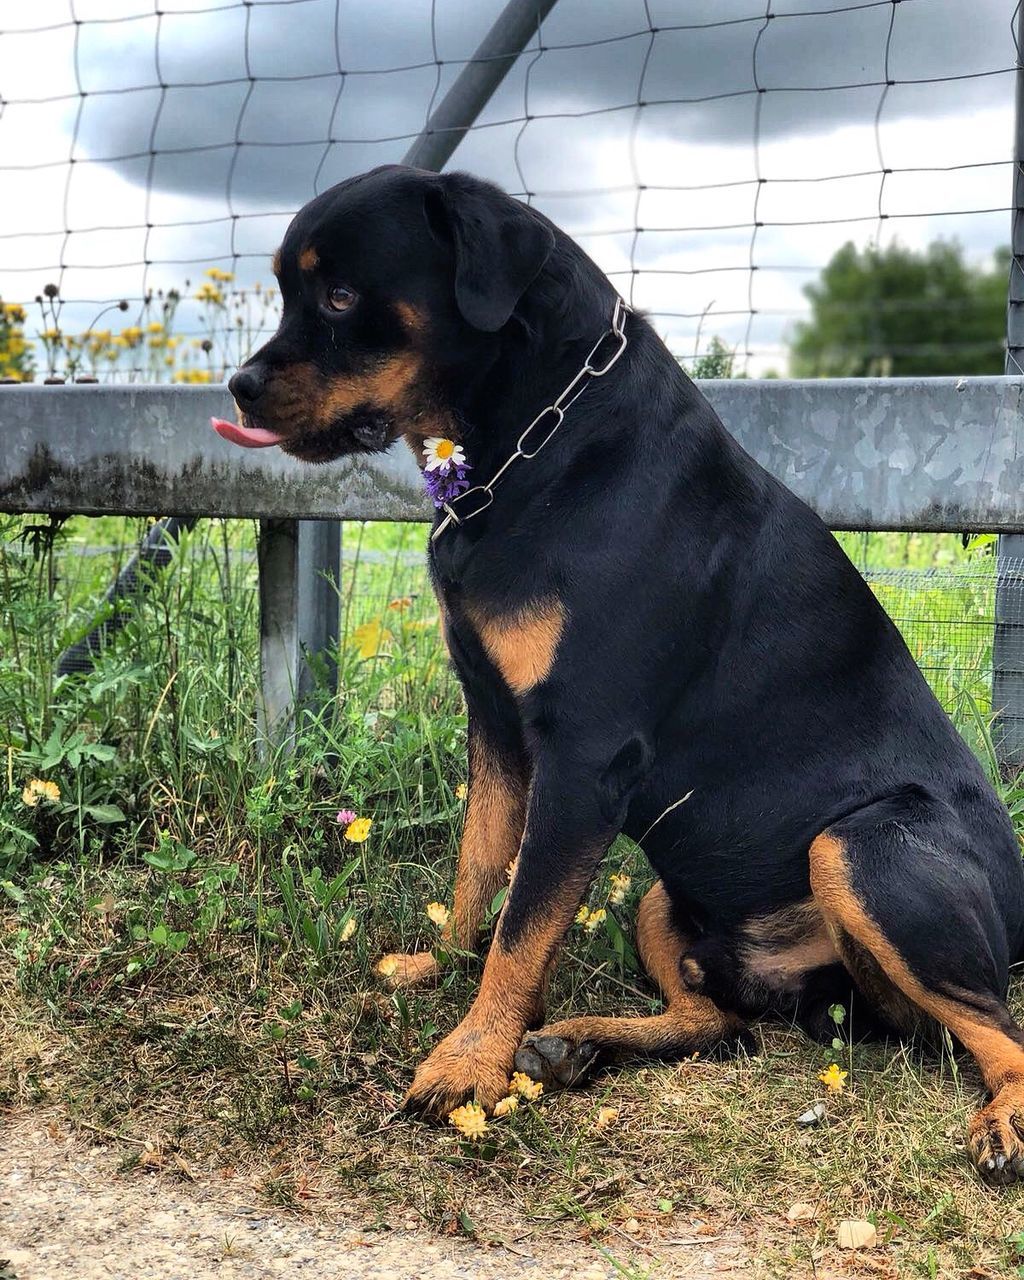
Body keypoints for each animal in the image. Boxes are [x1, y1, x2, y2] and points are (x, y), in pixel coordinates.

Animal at [216, 165, 1024, 1182]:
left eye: (339, 295)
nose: (239, 386)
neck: (534, 445)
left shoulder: (584, 757)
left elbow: (522, 925)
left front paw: (465, 1062)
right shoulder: (497, 726)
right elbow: (478, 875)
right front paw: (443, 975)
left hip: (864, 850)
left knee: (999, 1028)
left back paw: (1002, 1121)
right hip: (663, 899)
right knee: (719, 1025)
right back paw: (579, 1043)